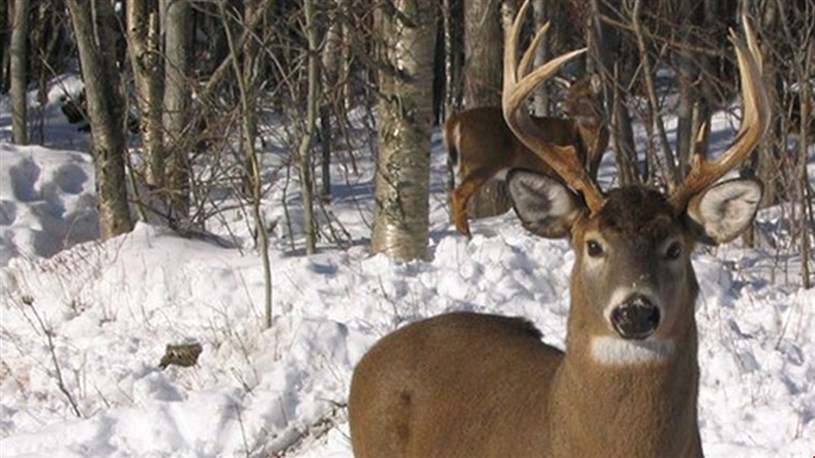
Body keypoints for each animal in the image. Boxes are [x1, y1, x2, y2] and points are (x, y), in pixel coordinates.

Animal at [445, 72, 608, 237]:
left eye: (585, 95)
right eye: (568, 95)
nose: (562, 109)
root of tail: (454, 121)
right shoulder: (557, 169)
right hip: (481, 164)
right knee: (458, 195)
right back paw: (466, 236)